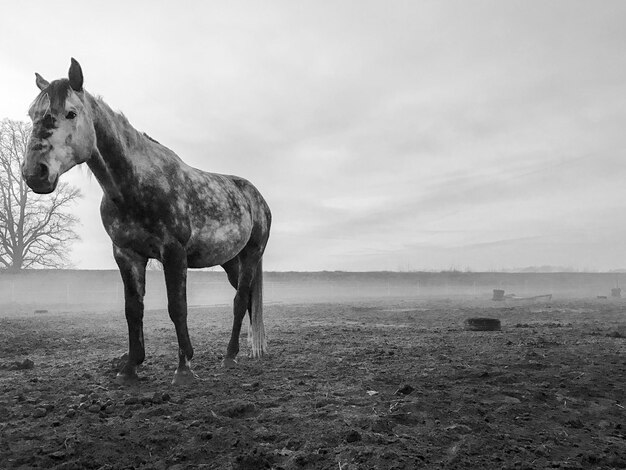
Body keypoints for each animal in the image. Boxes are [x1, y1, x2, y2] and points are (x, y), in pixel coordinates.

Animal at [21, 58, 270, 386]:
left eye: (71, 113)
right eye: (32, 114)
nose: (35, 173)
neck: (135, 186)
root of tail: (256, 196)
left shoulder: (173, 253)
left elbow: (177, 308)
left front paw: (184, 368)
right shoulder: (127, 255)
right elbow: (133, 310)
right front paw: (130, 367)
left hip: (252, 254)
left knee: (240, 301)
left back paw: (230, 356)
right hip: (231, 261)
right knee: (248, 298)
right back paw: (249, 351)